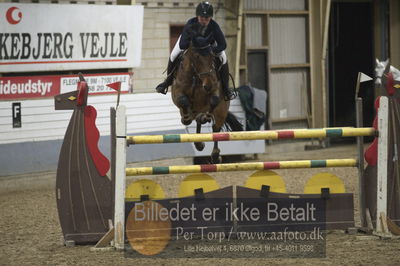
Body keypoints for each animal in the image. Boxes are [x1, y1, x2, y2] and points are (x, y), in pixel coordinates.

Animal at [170, 33, 242, 162]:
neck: (196, 76)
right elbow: (183, 101)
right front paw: (186, 119)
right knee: (194, 119)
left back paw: (215, 154)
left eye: (212, 58)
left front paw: (204, 117)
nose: (208, 85)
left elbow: (214, 100)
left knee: (215, 128)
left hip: (221, 111)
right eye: (197, 57)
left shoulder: (215, 91)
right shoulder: (177, 94)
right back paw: (198, 141)